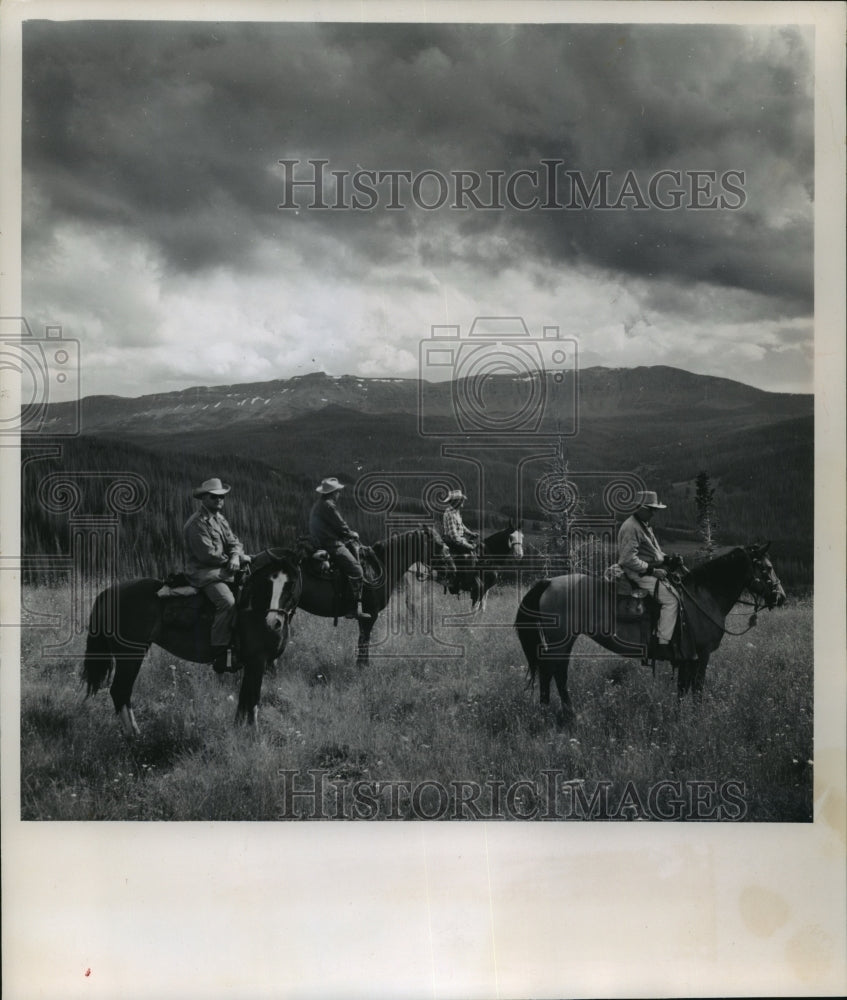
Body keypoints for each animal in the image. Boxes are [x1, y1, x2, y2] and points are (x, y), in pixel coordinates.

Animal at [82, 548, 302, 736]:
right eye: (267, 583)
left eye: (291, 584)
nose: (273, 622)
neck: (253, 607)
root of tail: (109, 593)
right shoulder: (257, 662)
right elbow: (253, 700)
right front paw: (254, 736)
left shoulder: (253, 665)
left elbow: (244, 700)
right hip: (130, 656)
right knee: (120, 691)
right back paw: (134, 735)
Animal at [294, 528, 444, 668]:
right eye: (439, 545)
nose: (449, 569)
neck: (380, 566)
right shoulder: (370, 613)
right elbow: (364, 639)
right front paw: (362, 666)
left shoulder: (364, 615)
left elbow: (363, 638)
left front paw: (362, 664)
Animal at [512, 544, 784, 716]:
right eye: (768, 568)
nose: (780, 597)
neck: (703, 596)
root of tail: (548, 582)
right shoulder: (702, 654)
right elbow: (697, 688)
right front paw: (696, 718)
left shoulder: (687, 657)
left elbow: (683, 687)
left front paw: (679, 715)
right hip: (561, 642)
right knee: (554, 674)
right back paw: (562, 714)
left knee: (553, 674)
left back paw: (556, 711)